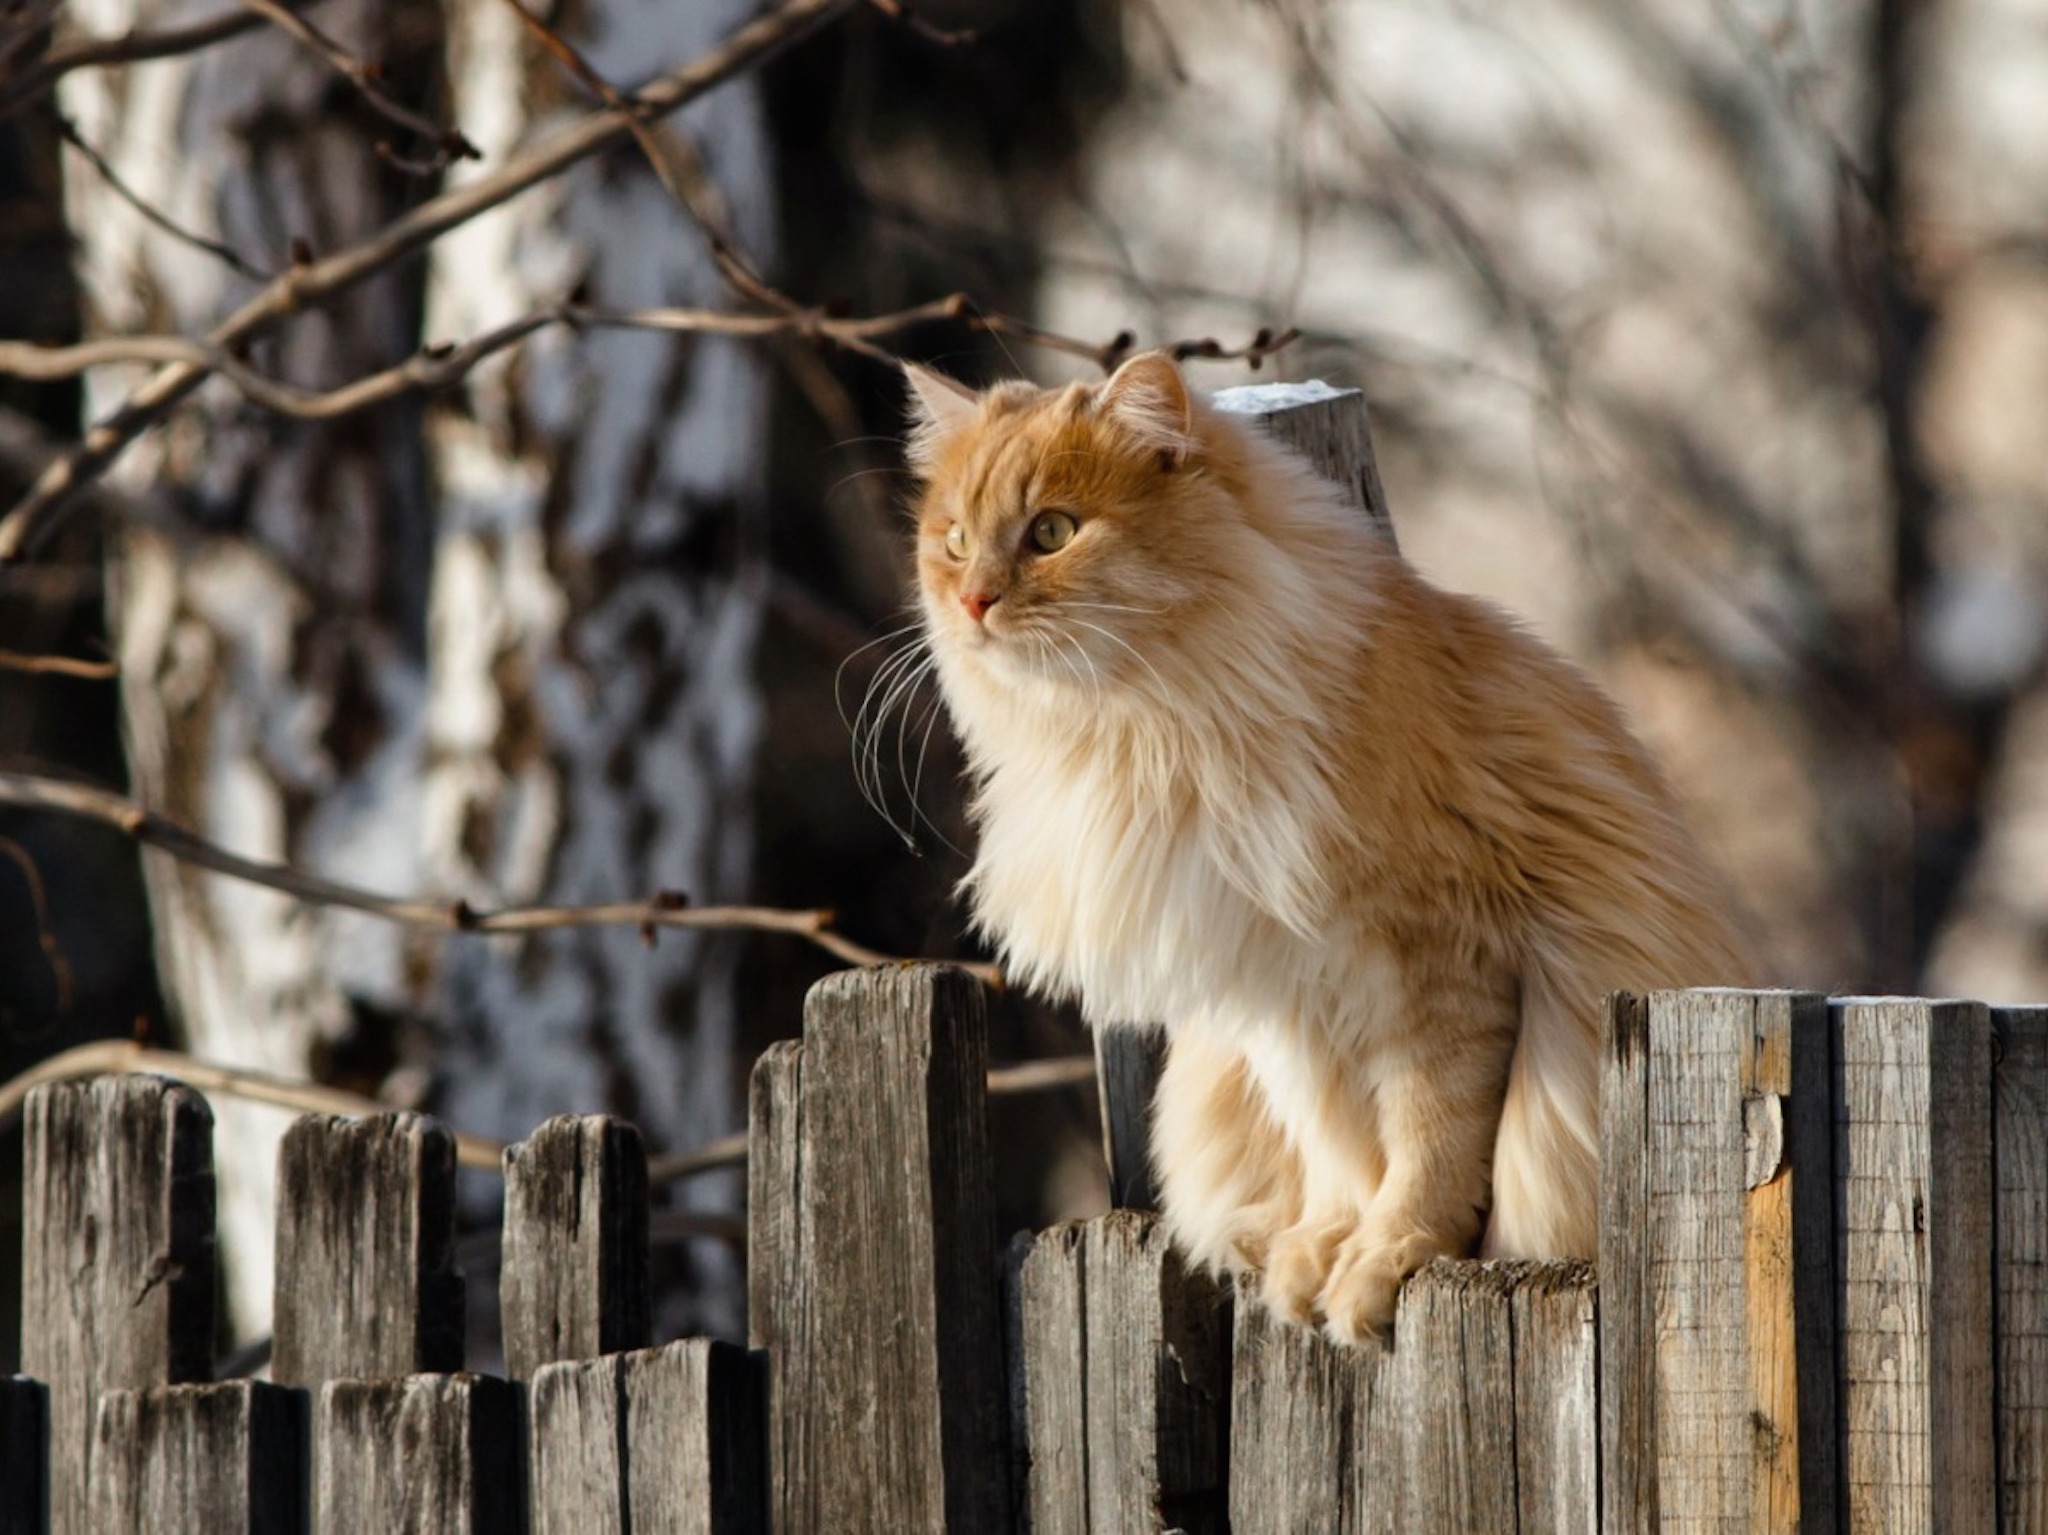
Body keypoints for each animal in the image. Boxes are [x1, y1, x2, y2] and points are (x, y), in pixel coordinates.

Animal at [897, 352, 1744, 1342]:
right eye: (956, 540)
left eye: (1051, 532)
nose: (973, 601)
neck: (1142, 732)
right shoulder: (1272, 988)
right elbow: (1339, 1144)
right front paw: (1328, 1249)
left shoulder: (1441, 957)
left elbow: (1432, 1137)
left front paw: (1391, 1256)